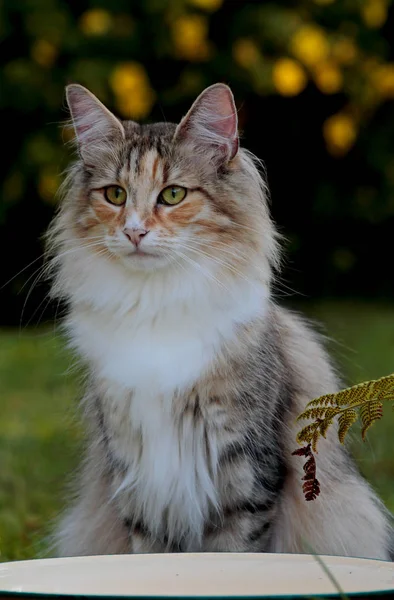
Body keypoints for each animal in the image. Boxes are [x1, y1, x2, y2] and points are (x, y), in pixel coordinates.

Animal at [47, 82, 392, 560]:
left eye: (173, 195)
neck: (156, 305)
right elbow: (146, 557)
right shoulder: (138, 477)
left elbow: (232, 553)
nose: (134, 232)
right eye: (114, 195)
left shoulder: (245, 470)